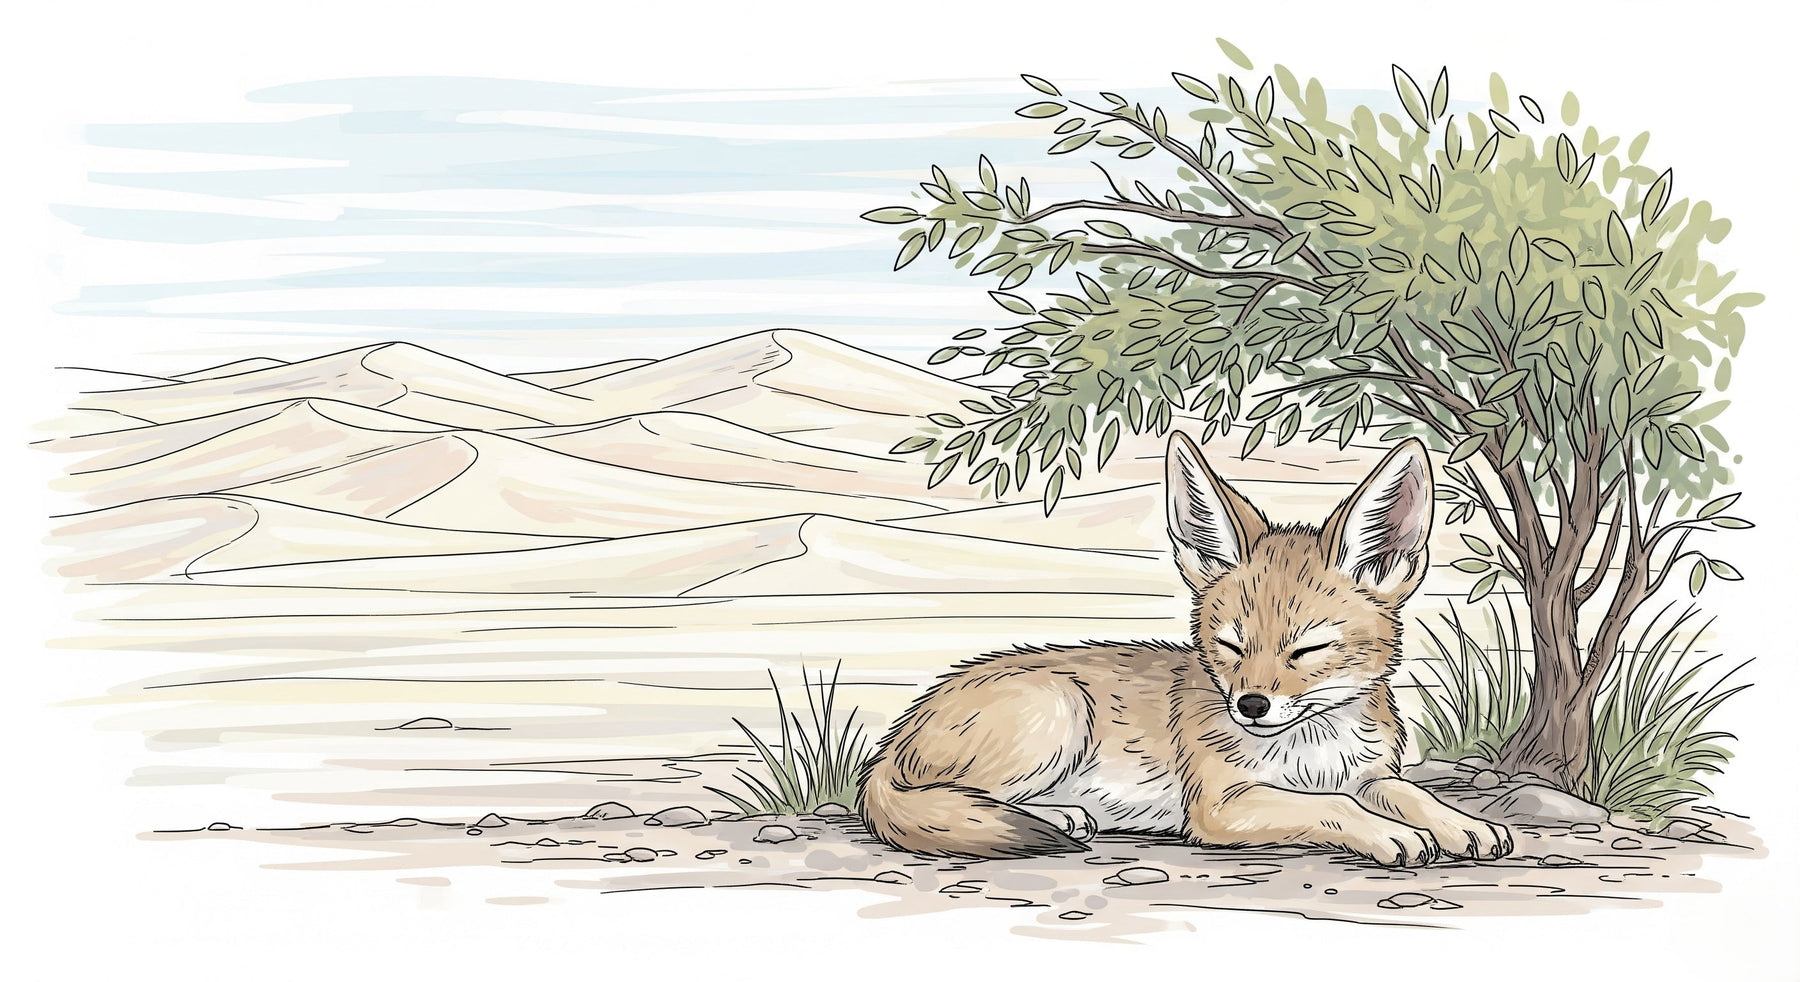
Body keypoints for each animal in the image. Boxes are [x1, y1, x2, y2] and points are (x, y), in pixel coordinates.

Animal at [858, 431, 1514, 867]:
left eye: (1308, 649)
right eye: (1230, 645)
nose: (1251, 705)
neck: (1312, 749)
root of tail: (895, 739)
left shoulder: (1369, 777)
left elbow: (1412, 794)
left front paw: (1463, 823)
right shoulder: (1225, 804)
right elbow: (1333, 809)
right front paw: (1390, 834)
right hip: (1057, 715)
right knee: (947, 799)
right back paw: (1057, 818)